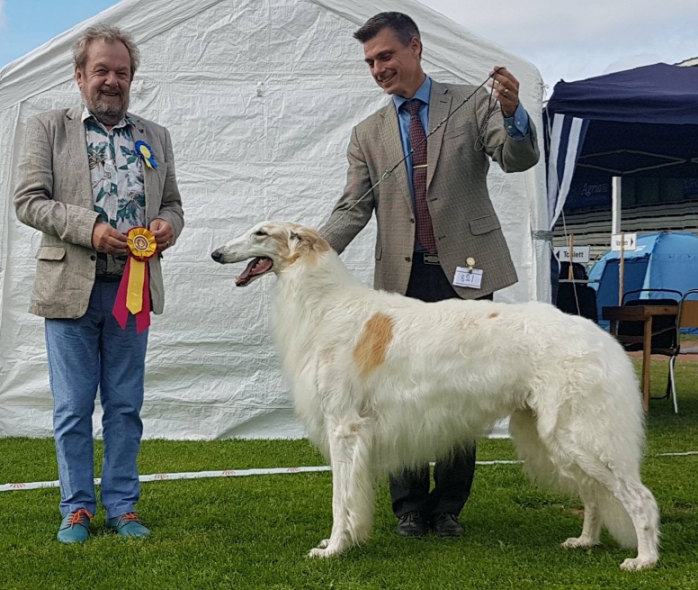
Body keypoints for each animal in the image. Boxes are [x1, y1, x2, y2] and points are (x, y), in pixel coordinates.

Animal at [211, 220, 656, 572]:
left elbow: (341, 500)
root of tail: (600, 336)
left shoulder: (344, 428)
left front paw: (334, 548)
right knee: (595, 496)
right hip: (558, 436)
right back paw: (585, 541)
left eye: (260, 233)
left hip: (579, 435)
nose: (215, 253)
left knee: (640, 498)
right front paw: (341, 541)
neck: (326, 305)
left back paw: (645, 559)